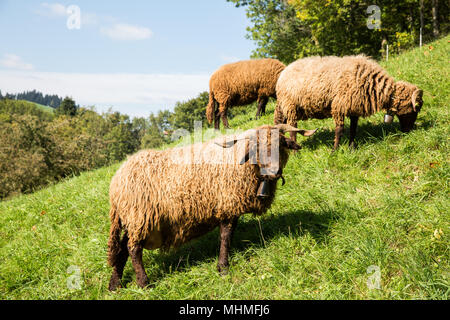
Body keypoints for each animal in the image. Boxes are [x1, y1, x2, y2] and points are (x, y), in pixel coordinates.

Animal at [106, 122, 316, 290]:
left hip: (133, 220)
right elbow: (225, 236)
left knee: (122, 248)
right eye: (258, 148)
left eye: (280, 144)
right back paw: (144, 283)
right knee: (133, 249)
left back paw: (115, 284)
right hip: (139, 217)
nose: (274, 172)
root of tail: (115, 184)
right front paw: (223, 267)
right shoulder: (227, 203)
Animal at [272, 55, 424, 150]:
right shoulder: (338, 106)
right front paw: (335, 151)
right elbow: (339, 130)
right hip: (291, 107)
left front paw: (351, 147)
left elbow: (353, 129)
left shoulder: (354, 108)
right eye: (414, 110)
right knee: (292, 130)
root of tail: (284, 73)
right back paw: (295, 153)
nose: (408, 131)